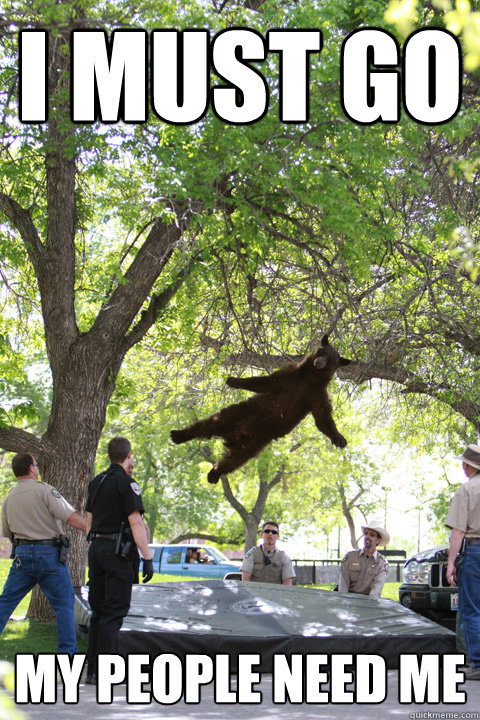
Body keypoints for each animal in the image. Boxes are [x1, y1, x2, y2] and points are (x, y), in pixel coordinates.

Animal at [171, 336, 350, 484]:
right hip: (238, 413)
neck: (309, 378)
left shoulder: (317, 395)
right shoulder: (289, 376)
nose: (319, 362)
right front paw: (233, 380)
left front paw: (340, 439)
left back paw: (213, 474)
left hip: (254, 445)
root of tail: (234, 436)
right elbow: (263, 382)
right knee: (208, 424)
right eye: (321, 351)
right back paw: (179, 435)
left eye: (331, 360)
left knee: (233, 461)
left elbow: (323, 418)